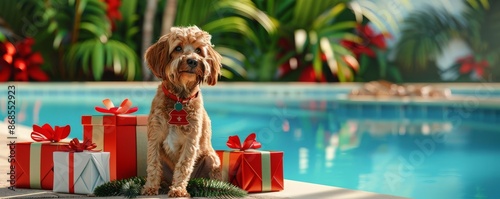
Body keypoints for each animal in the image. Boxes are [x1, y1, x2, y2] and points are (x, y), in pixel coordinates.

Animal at [144, 25, 224, 197]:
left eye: (199, 50)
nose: (192, 61)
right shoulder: (155, 135)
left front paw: (178, 189)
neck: (179, 99)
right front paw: (150, 187)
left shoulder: (191, 140)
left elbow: (184, 165)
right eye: (178, 48)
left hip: (211, 158)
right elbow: (153, 163)